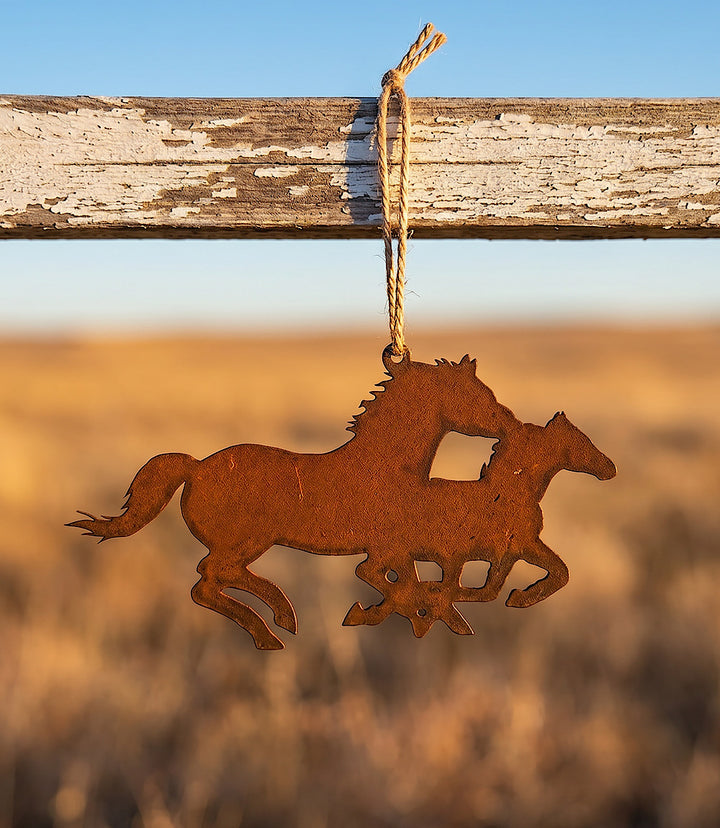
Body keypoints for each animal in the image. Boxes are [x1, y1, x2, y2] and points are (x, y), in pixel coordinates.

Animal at [68, 349, 521, 650]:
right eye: (476, 394)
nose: (511, 423)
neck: (387, 466)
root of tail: (195, 467)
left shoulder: (396, 550)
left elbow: (408, 584)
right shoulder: (388, 548)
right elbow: (399, 584)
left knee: (215, 579)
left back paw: (281, 619)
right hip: (248, 539)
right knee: (208, 580)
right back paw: (274, 627)